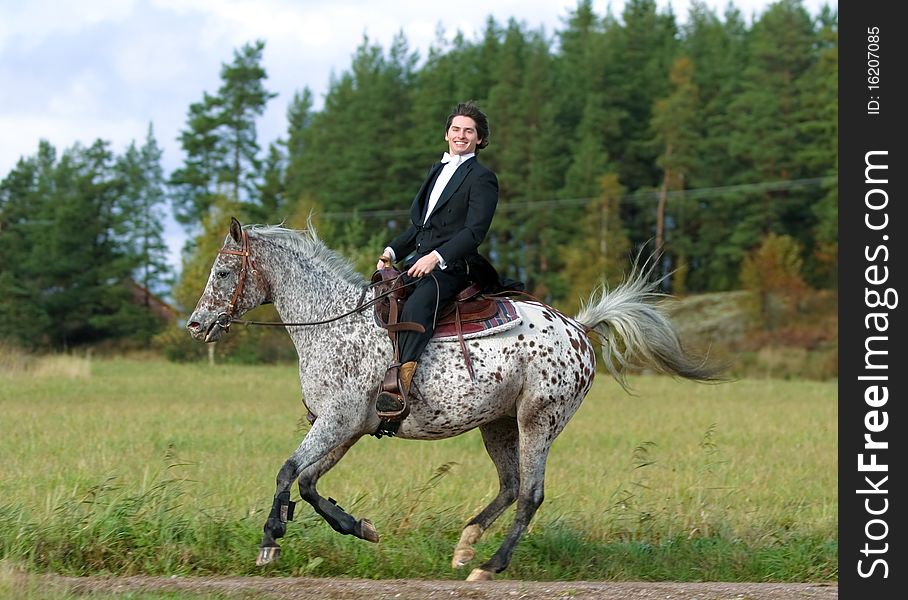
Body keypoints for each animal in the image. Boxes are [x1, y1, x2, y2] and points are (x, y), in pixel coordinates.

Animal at [188, 219, 720, 580]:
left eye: (224, 271)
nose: (196, 324)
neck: (333, 323)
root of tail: (579, 329)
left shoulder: (337, 422)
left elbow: (286, 472)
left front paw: (270, 542)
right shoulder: (346, 428)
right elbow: (307, 482)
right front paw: (361, 528)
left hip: (538, 420)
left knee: (531, 493)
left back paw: (489, 565)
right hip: (497, 423)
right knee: (510, 486)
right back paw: (466, 545)